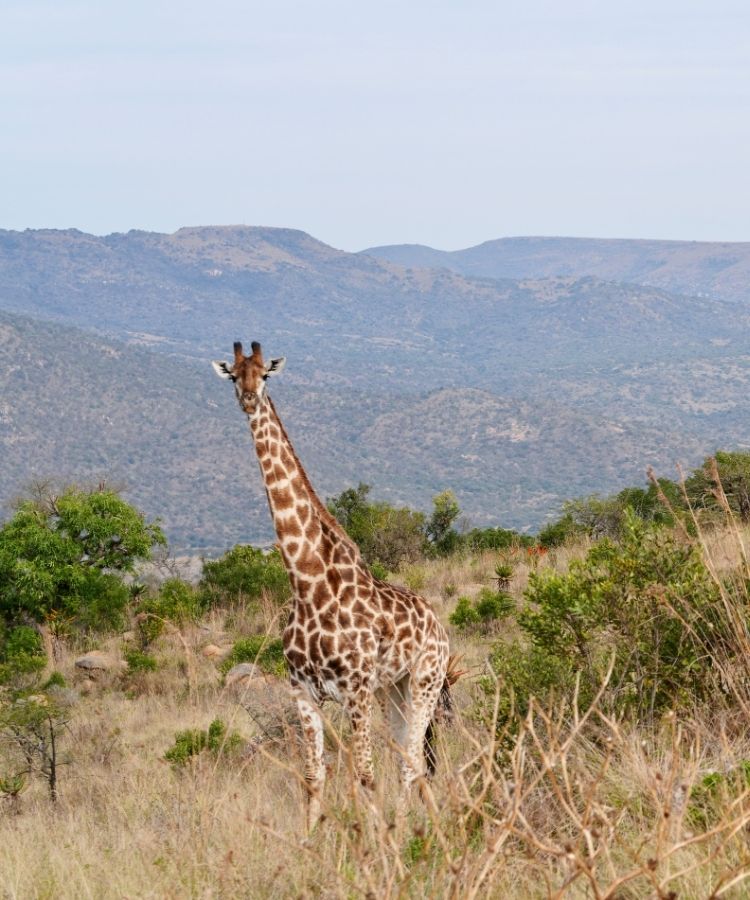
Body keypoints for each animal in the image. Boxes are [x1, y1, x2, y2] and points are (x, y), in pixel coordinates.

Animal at [212, 340, 451, 830]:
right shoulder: (303, 691)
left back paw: (411, 831)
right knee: (410, 757)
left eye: (265, 374)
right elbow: (313, 777)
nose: (248, 398)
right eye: (234, 375)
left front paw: (375, 842)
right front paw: (311, 841)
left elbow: (364, 775)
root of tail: (440, 627)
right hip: (393, 689)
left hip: (425, 680)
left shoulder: (355, 689)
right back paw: (424, 826)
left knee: (410, 759)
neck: (307, 583)